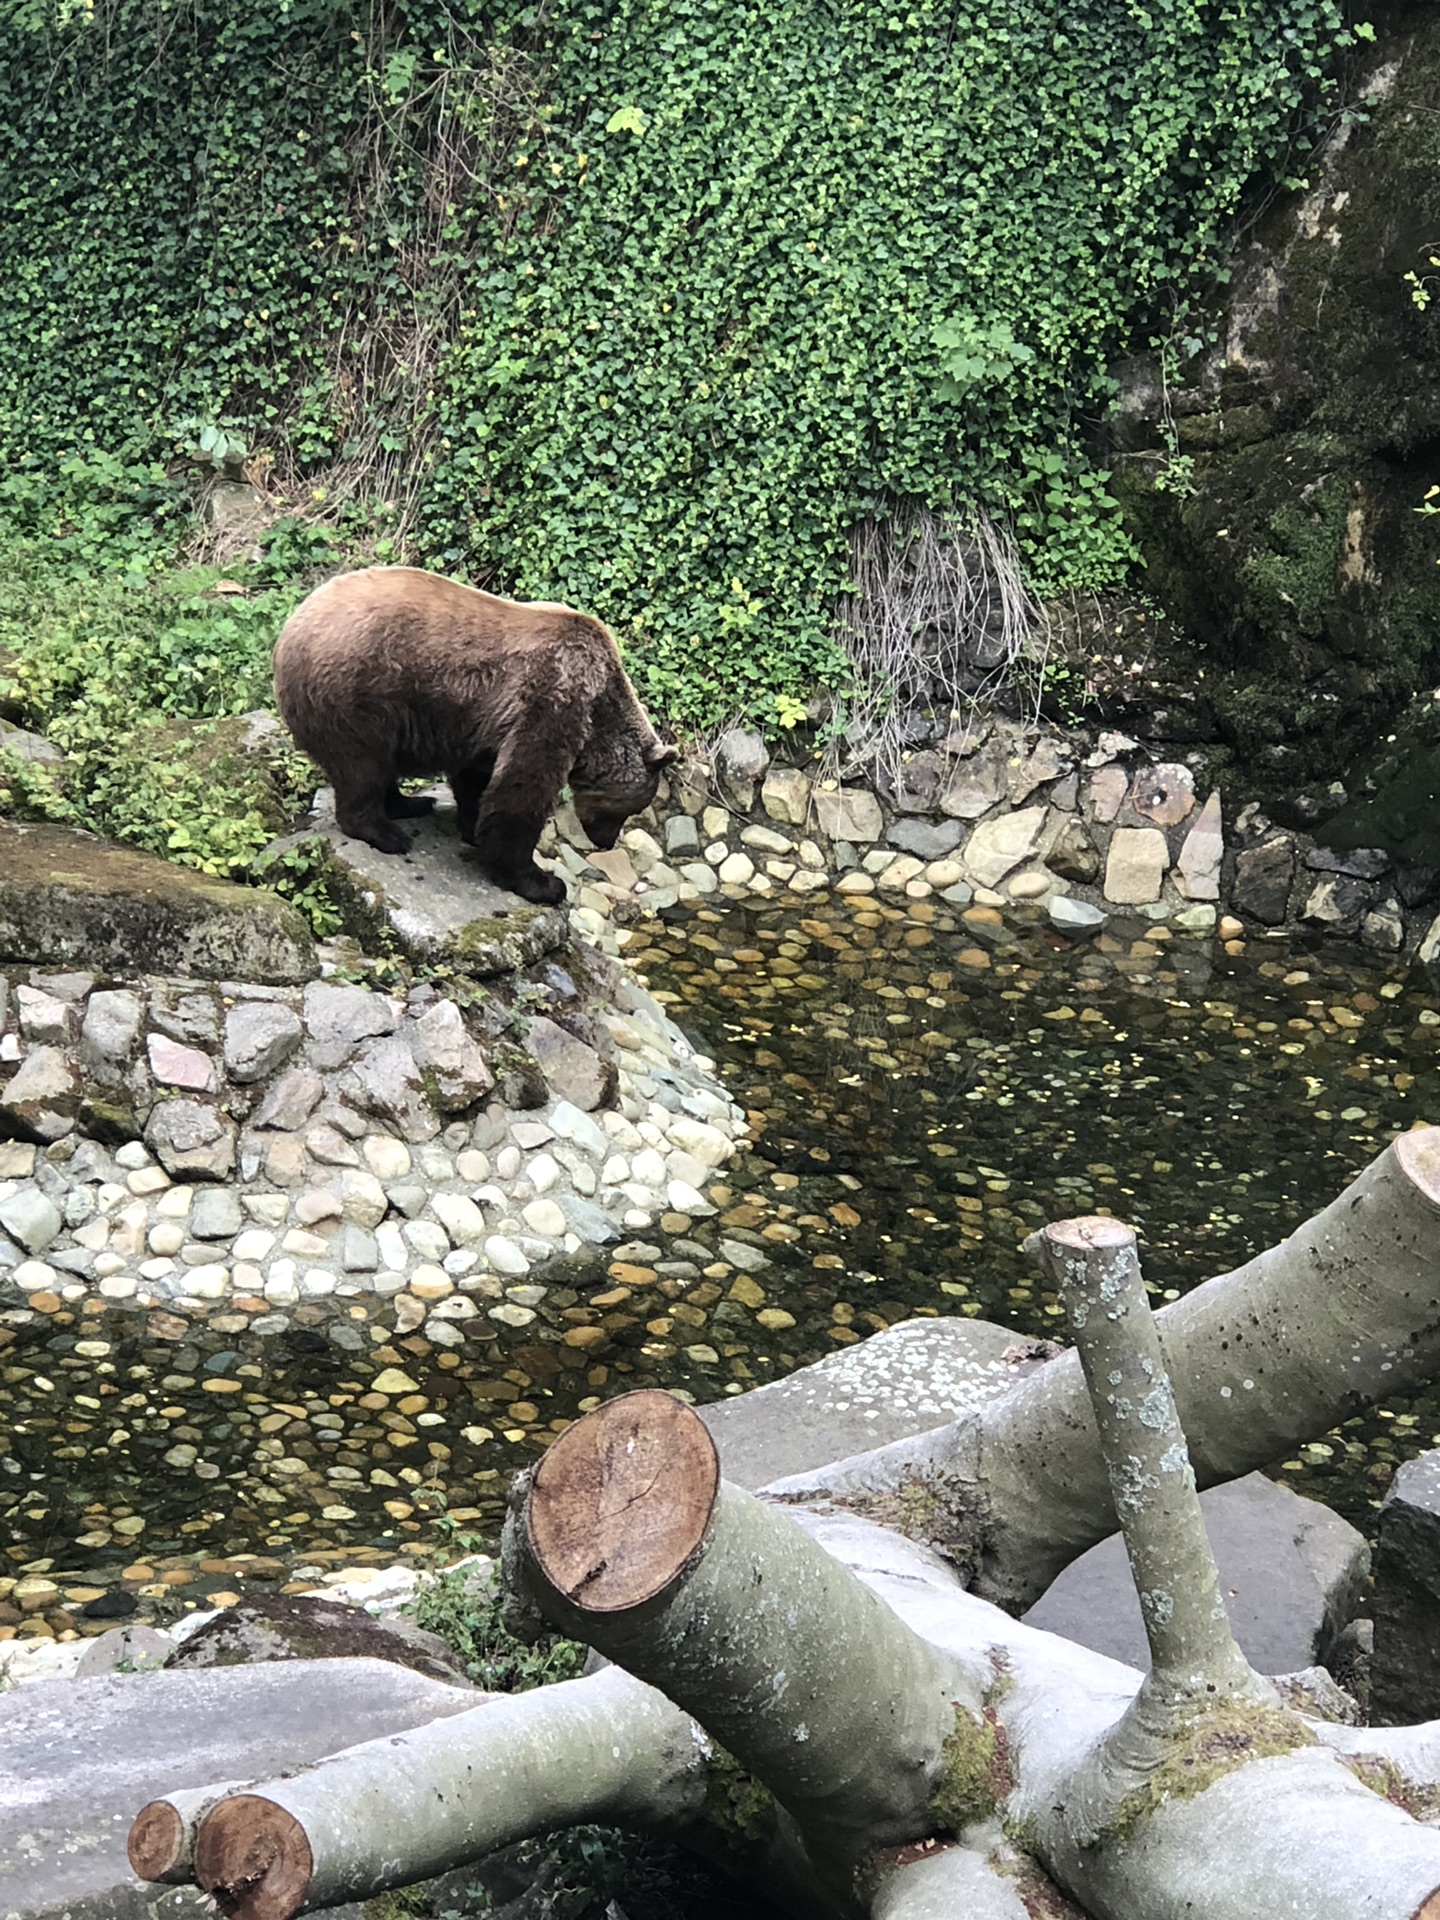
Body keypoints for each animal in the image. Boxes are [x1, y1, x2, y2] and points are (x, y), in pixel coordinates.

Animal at [272, 560, 679, 906]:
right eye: (630, 809)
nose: (605, 841)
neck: (601, 705)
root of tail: (288, 632)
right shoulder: (555, 694)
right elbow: (523, 787)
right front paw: (542, 882)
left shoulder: (484, 720)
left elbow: (479, 778)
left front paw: (471, 828)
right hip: (355, 692)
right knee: (362, 765)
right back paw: (386, 832)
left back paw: (411, 804)